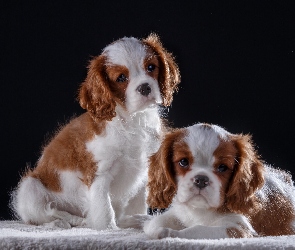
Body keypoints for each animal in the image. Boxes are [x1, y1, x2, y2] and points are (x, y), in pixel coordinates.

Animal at [11, 33, 180, 230]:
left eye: (151, 67)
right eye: (121, 78)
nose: (145, 87)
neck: (132, 120)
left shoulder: (144, 171)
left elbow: (137, 203)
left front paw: (136, 219)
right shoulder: (99, 175)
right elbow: (104, 209)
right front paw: (109, 229)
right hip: (29, 188)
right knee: (42, 216)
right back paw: (63, 222)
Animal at [145, 124, 295, 239]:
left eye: (222, 167)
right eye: (183, 162)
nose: (201, 180)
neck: (201, 210)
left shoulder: (237, 228)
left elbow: (197, 229)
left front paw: (169, 233)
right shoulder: (179, 212)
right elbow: (156, 222)